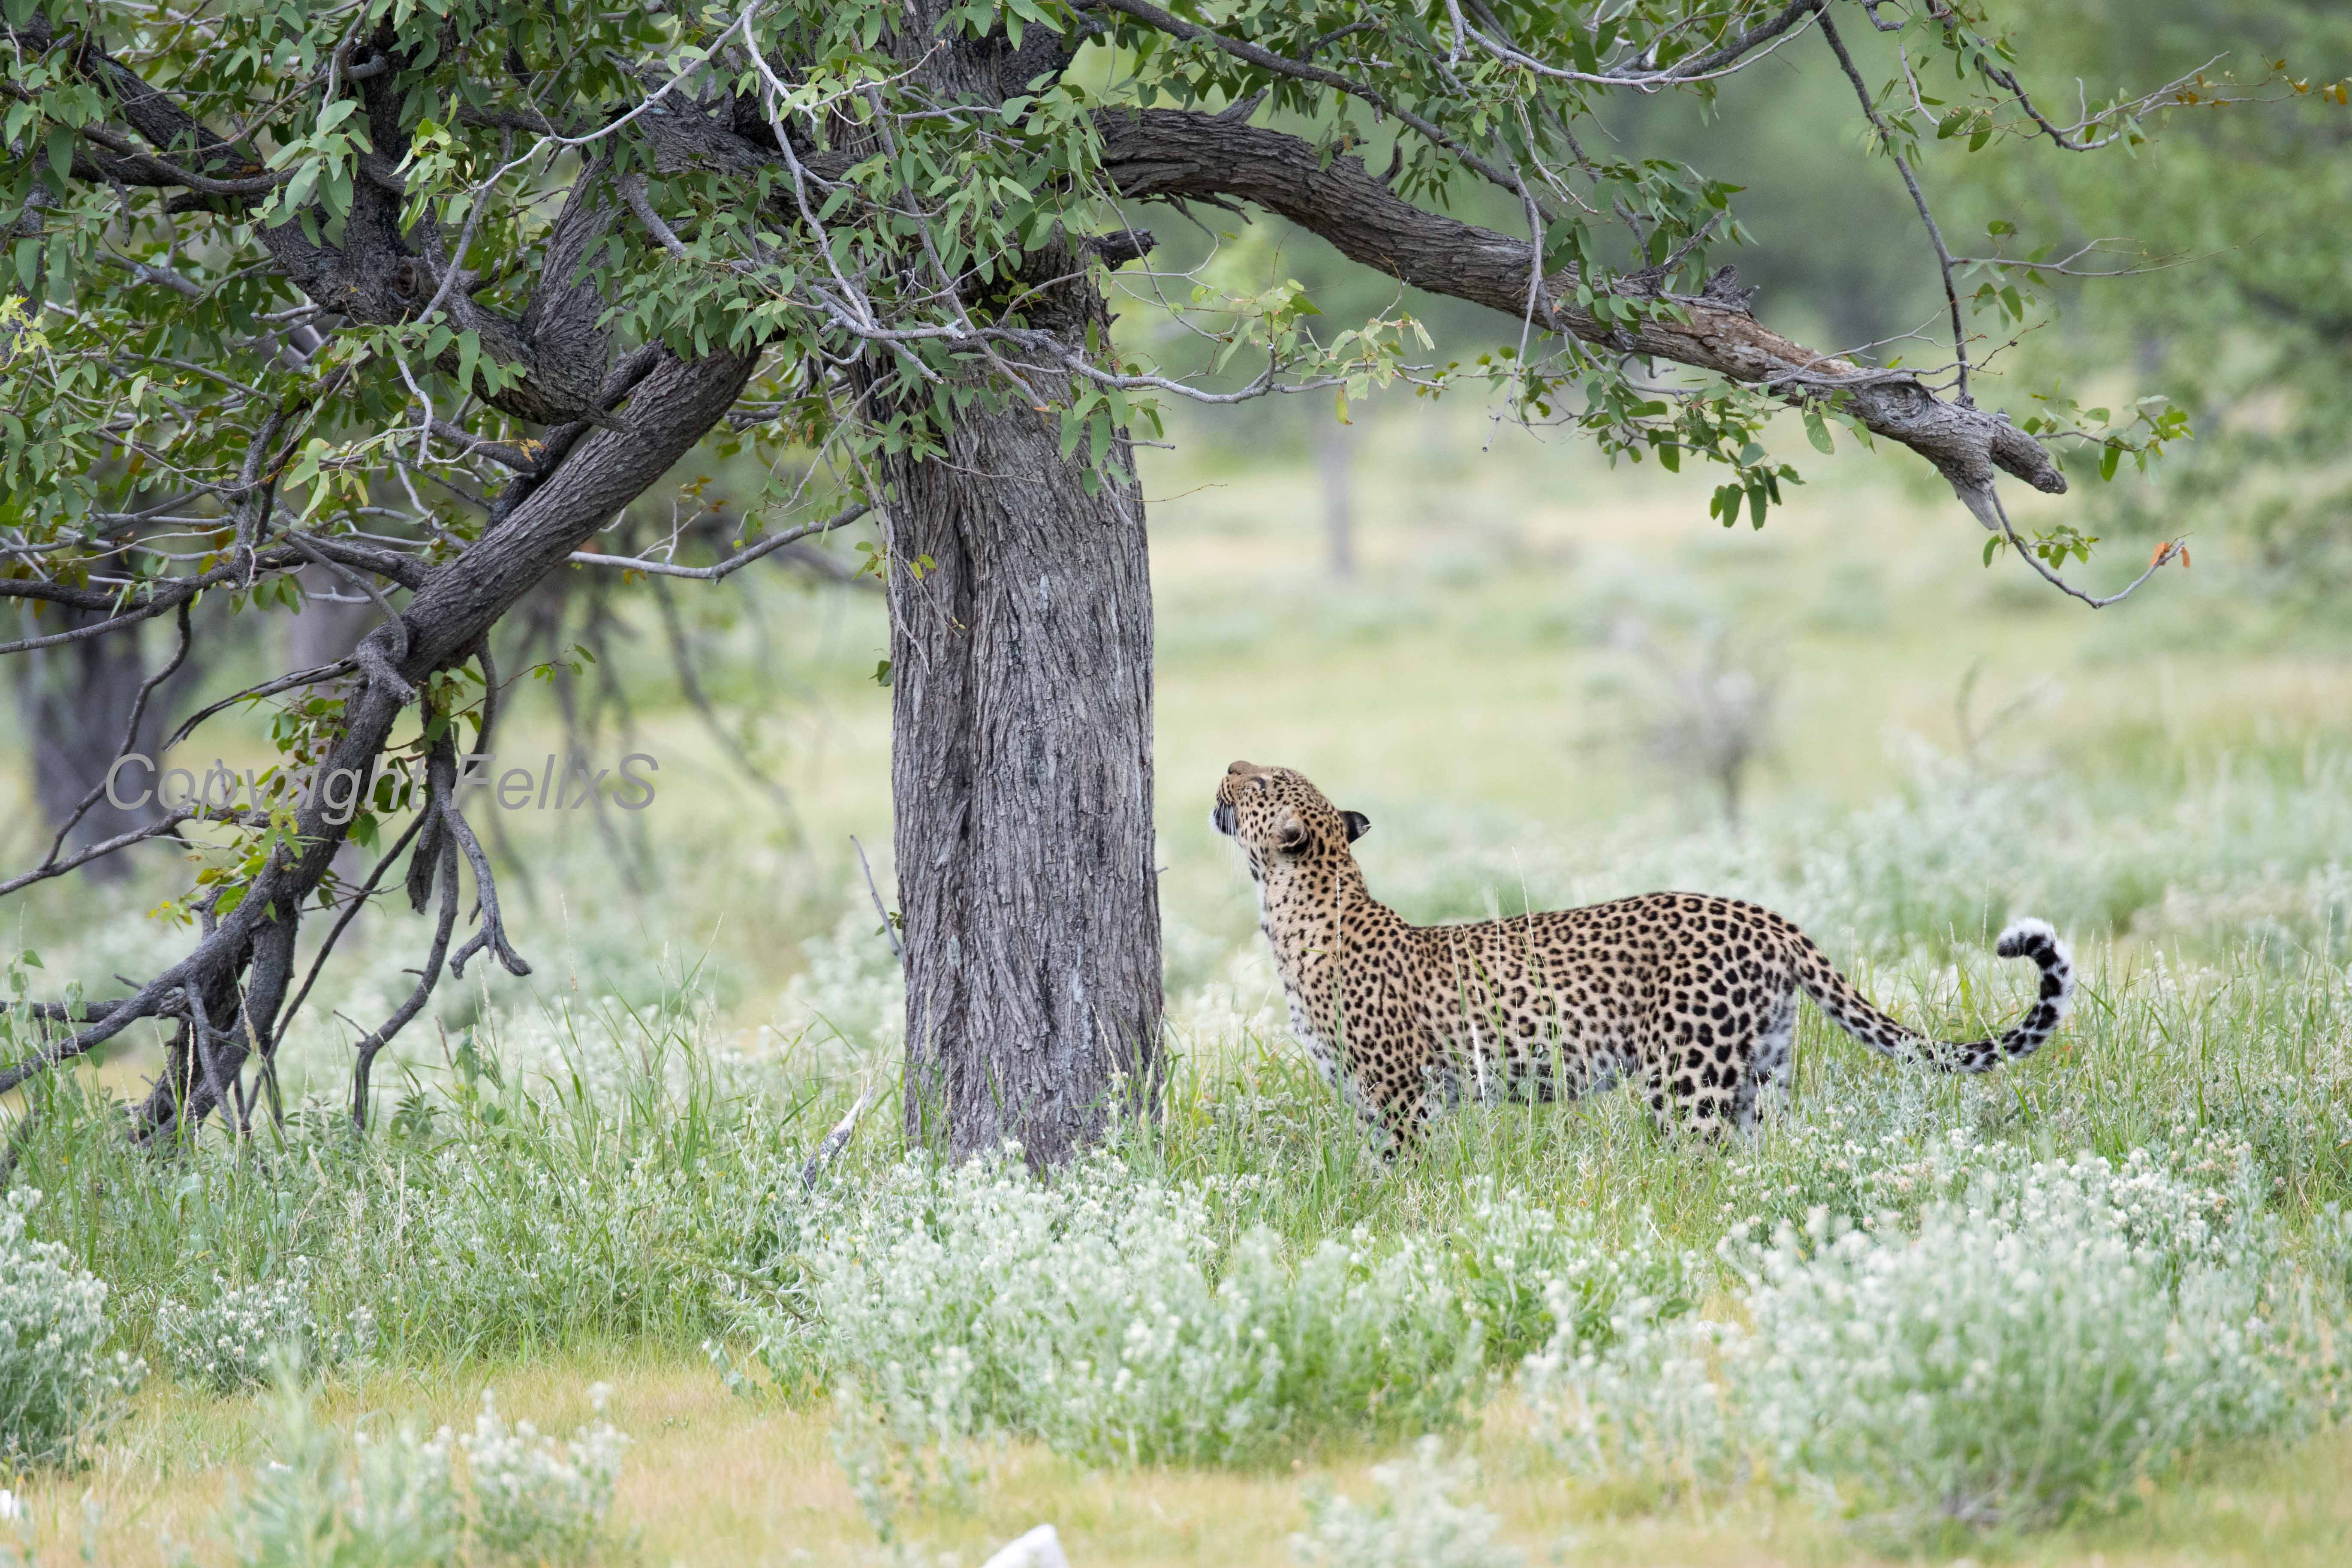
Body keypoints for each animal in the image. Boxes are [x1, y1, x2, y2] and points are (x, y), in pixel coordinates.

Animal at [1214, 761, 2079, 1147]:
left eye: (1261, 781)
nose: (1229, 763)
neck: (1296, 910)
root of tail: (1764, 916)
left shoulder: (1400, 1099)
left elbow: (1396, 1180)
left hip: (1687, 1078)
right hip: (1765, 1072)